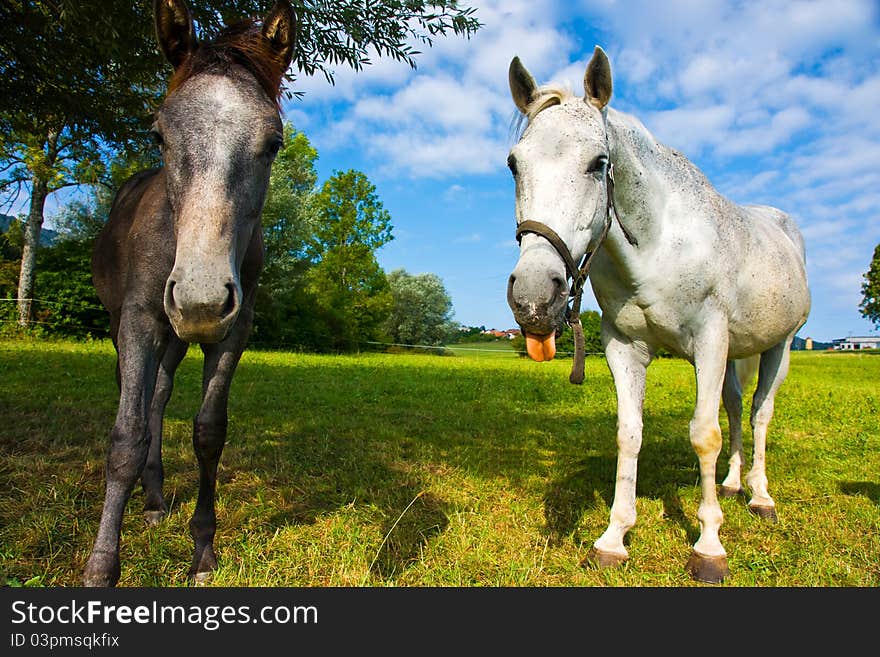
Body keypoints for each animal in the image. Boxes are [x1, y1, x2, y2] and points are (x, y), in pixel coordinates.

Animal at [86, 0, 300, 584]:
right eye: (159, 134)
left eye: (274, 143)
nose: (200, 299)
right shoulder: (138, 319)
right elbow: (124, 436)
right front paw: (101, 567)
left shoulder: (232, 330)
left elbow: (208, 432)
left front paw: (202, 549)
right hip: (132, 324)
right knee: (136, 399)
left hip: (177, 335)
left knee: (159, 395)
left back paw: (155, 498)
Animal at [508, 46, 812, 580]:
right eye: (513, 165)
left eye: (598, 163)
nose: (533, 297)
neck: (658, 245)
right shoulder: (625, 348)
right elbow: (629, 434)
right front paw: (613, 538)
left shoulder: (710, 342)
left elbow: (704, 435)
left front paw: (709, 547)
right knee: (737, 408)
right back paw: (733, 484)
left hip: (780, 346)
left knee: (759, 413)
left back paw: (759, 496)